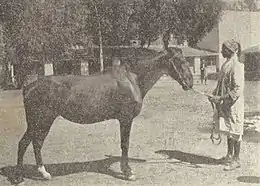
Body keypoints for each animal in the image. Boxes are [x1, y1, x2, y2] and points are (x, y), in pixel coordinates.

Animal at [12, 46, 193, 185]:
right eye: (179, 60)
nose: (190, 83)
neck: (132, 78)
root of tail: (29, 86)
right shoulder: (126, 119)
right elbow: (125, 144)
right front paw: (128, 172)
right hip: (41, 120)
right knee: (24, 144)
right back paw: (19, 177)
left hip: (43, 122)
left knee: (36, 144)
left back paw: (44, 173)